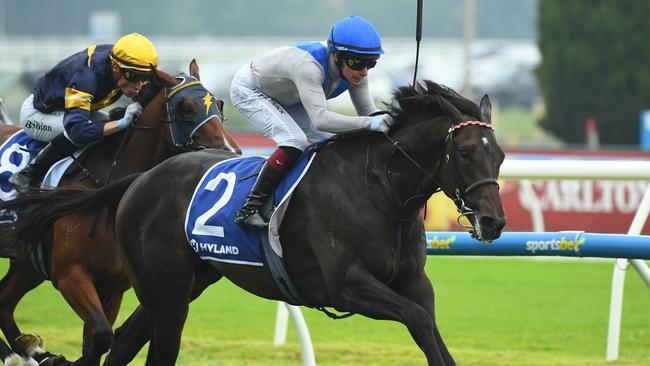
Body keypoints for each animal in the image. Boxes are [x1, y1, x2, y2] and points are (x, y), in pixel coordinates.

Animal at [0, 60, 240, 366]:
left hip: (27, 264)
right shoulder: (69, 274)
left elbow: (99, 338)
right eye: (185, 108)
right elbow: (103, 335)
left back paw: (28, 353)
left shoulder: (111, 287)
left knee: (3, 303)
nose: (230, 151)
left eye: (219, 105)